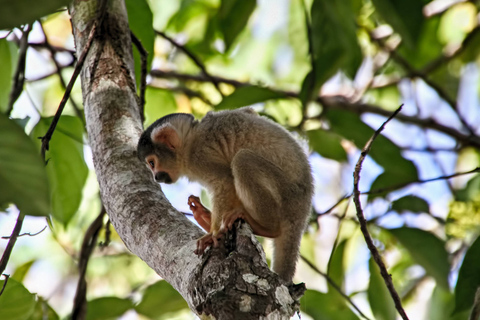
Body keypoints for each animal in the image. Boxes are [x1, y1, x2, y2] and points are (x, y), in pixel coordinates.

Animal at [137, 109, 314, 282]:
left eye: (152, 163)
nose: (156, 177)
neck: (189, 141)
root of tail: (303, 211)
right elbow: (249, 112)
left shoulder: (199, 157)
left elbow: (225, 181)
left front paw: (213, 234)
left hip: (287, 195)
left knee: (243, 160)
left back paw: (267, 227)